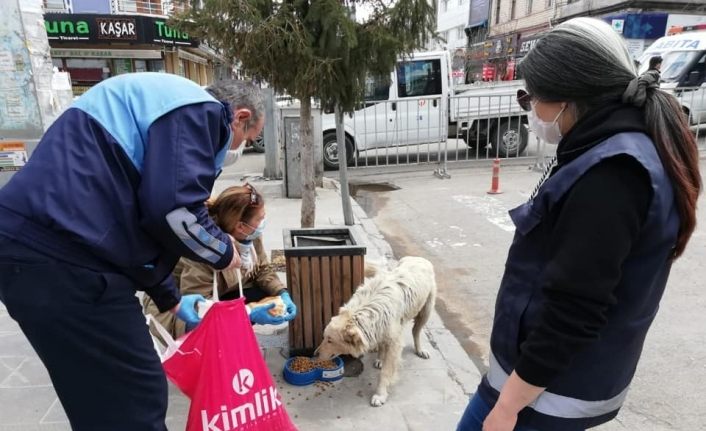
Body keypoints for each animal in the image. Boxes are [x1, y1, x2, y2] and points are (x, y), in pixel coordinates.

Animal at [314, 256, 434, 408]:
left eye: (330, 340)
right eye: (324, 337)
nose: (315, 354)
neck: (370, 310)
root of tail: (417, 257)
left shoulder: (394, 344)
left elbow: (385, 373)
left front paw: (380, 394)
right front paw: (380, 358)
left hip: (426, 311)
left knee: (415, 331)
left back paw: (419, 350)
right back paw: (379, 358)